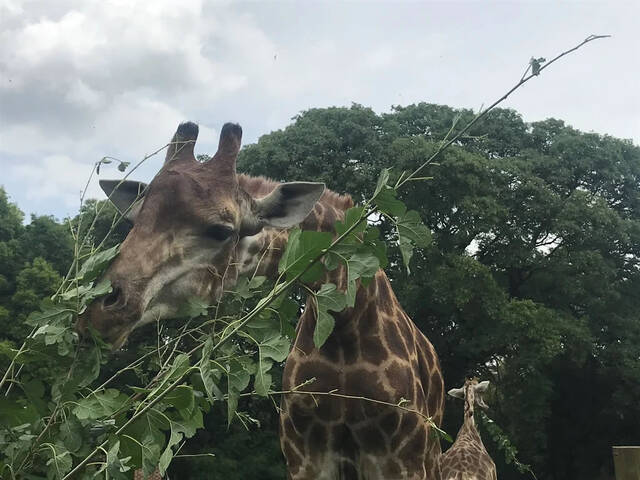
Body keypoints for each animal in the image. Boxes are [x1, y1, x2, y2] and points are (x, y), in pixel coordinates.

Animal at [80, 121, 444, 480]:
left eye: (221, 230)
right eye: (134, 219)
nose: (96, 316)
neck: (346, 327)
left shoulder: (402, 459)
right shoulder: (306, 458)